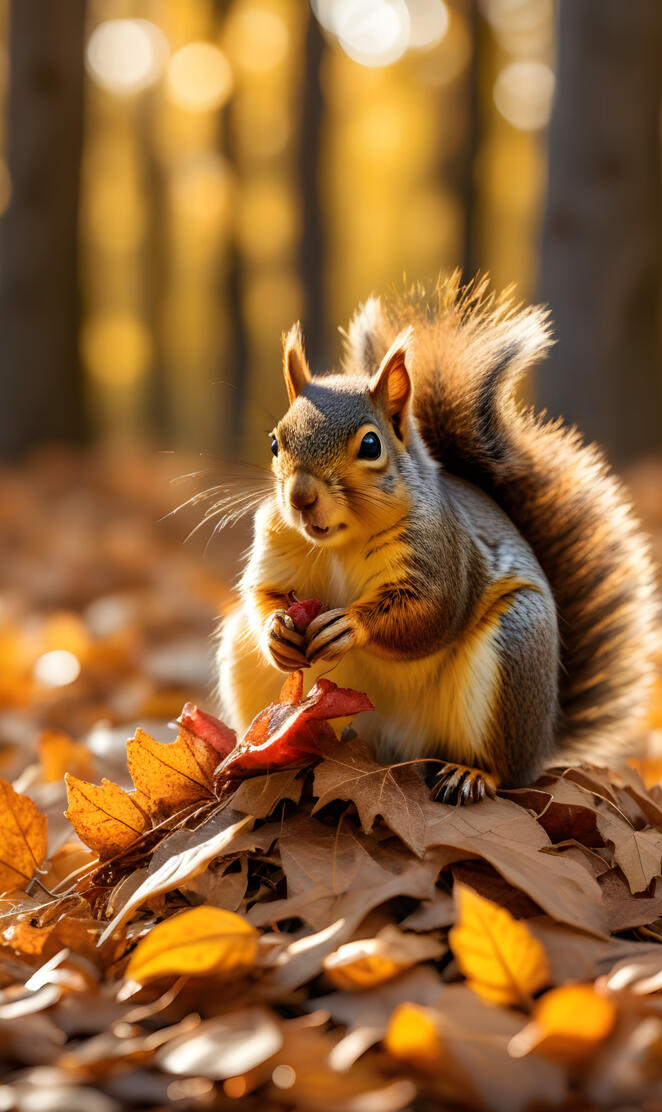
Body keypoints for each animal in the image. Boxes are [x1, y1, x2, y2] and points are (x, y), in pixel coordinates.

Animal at [217, 274, 657, 804]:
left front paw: (351, 624)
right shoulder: (278, 544)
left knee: (506, 768)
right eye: (274, 442)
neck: (340, 543)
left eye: (371, 445)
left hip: (513, 650)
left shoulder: (441, 551)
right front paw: (277, 629)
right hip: (245, 659)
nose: (301, 497)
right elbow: (264, 593)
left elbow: (430, 611)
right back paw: (268, 755)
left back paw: (471, 774)